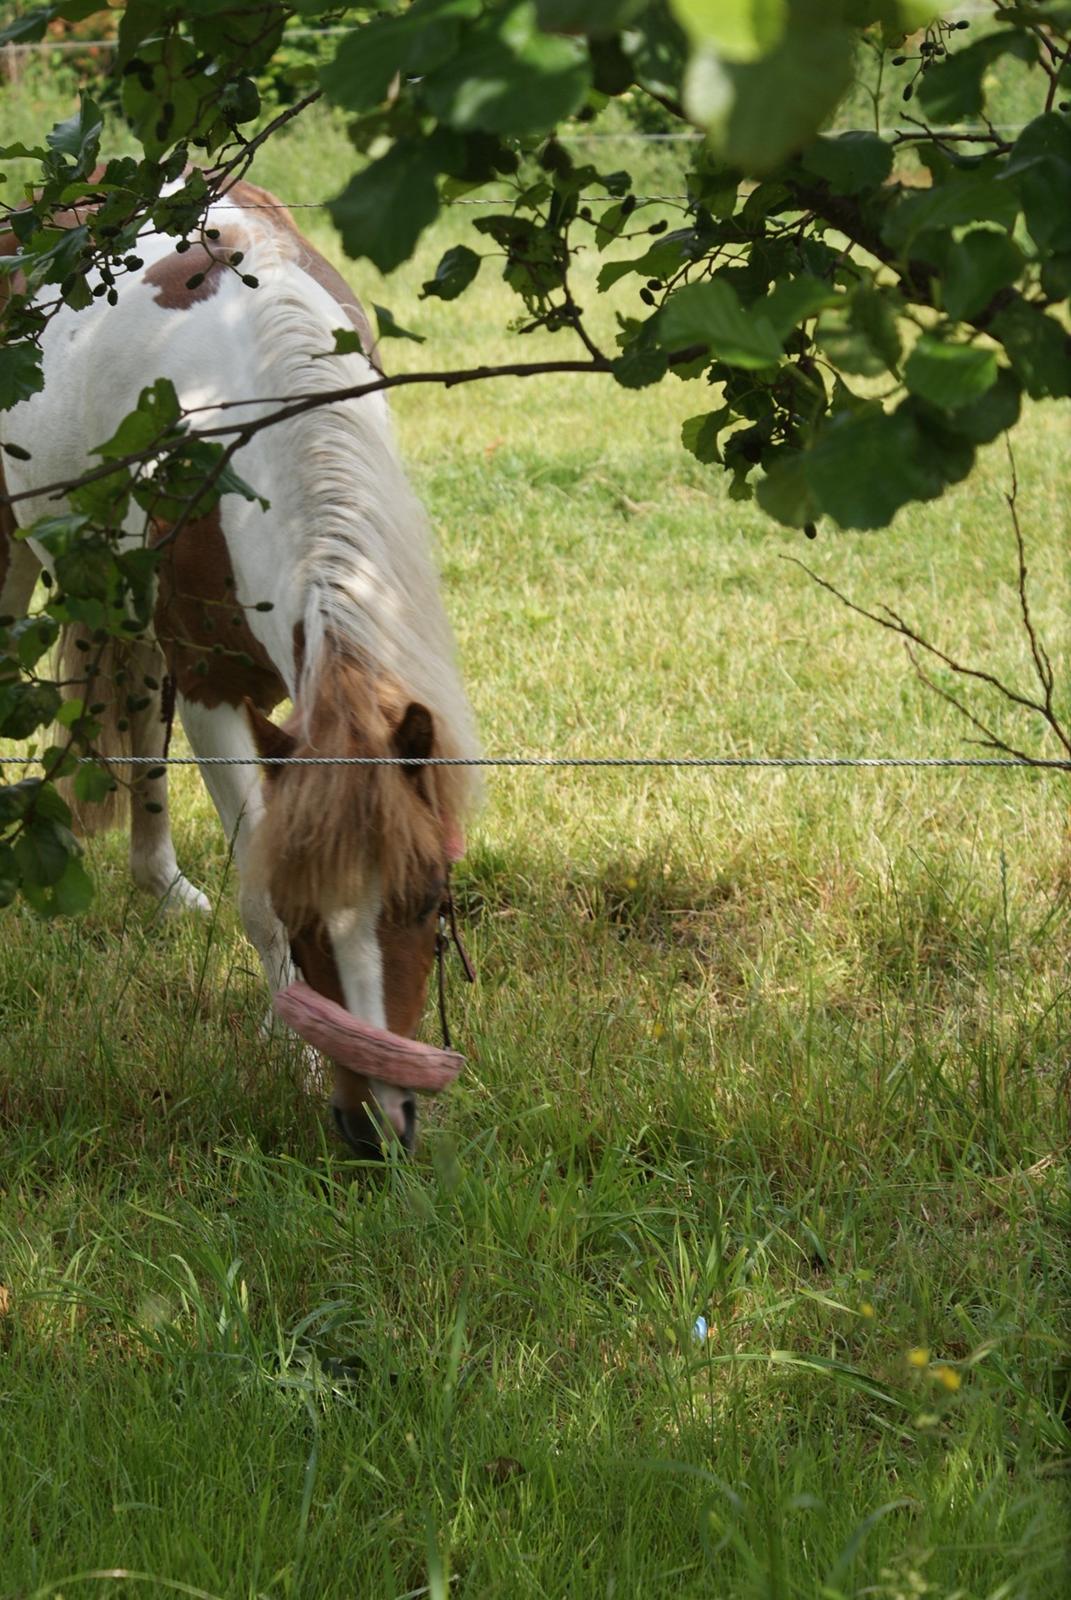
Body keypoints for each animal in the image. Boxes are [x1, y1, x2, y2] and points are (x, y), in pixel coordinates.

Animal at [0, 181, 480, 1158]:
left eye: (426, 905)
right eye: (303, 920)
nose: (376, 1128)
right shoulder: (217, 694)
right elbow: (254, 874)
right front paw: (292, 1049)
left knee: (139, 733)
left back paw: (163, 887)